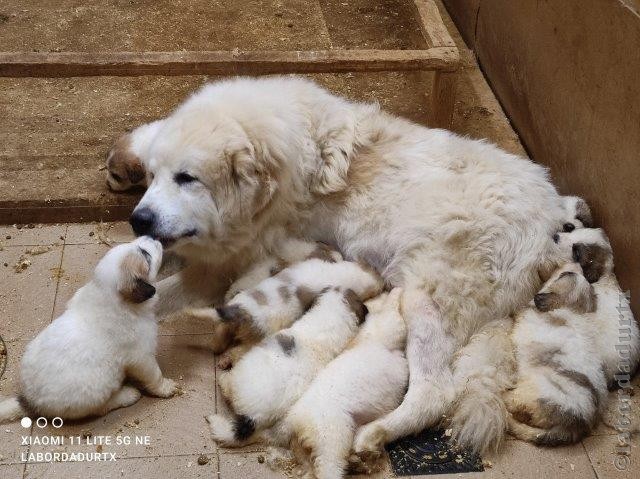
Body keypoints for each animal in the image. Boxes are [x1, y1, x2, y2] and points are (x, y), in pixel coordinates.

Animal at [0, 237, 178, 424]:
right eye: (146, 255)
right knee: (101, 408)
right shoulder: (142, 357)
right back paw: (128, 395)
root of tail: (30, 401)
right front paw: (166, 387)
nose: (151, 237)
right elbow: (155, 376)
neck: (111, 297)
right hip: (98, 390)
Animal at [286, 288, 408, 479]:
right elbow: (393, 310)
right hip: (333, 440)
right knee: (327, 469)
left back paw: (358, 461)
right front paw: (397, 291)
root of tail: (298, 423)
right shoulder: (389, 327)